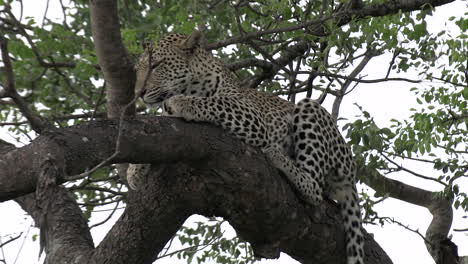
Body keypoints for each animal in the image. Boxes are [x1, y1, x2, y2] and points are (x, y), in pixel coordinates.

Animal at [127, 31, 366, 264]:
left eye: (157, 65)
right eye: (138, 70)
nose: (139, 93)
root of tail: (352, 171)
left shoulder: (252, 117)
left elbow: (214, 103)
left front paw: (181, 103)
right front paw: (135, 171)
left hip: (310, 109)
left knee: (314, 189)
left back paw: (278, 156)